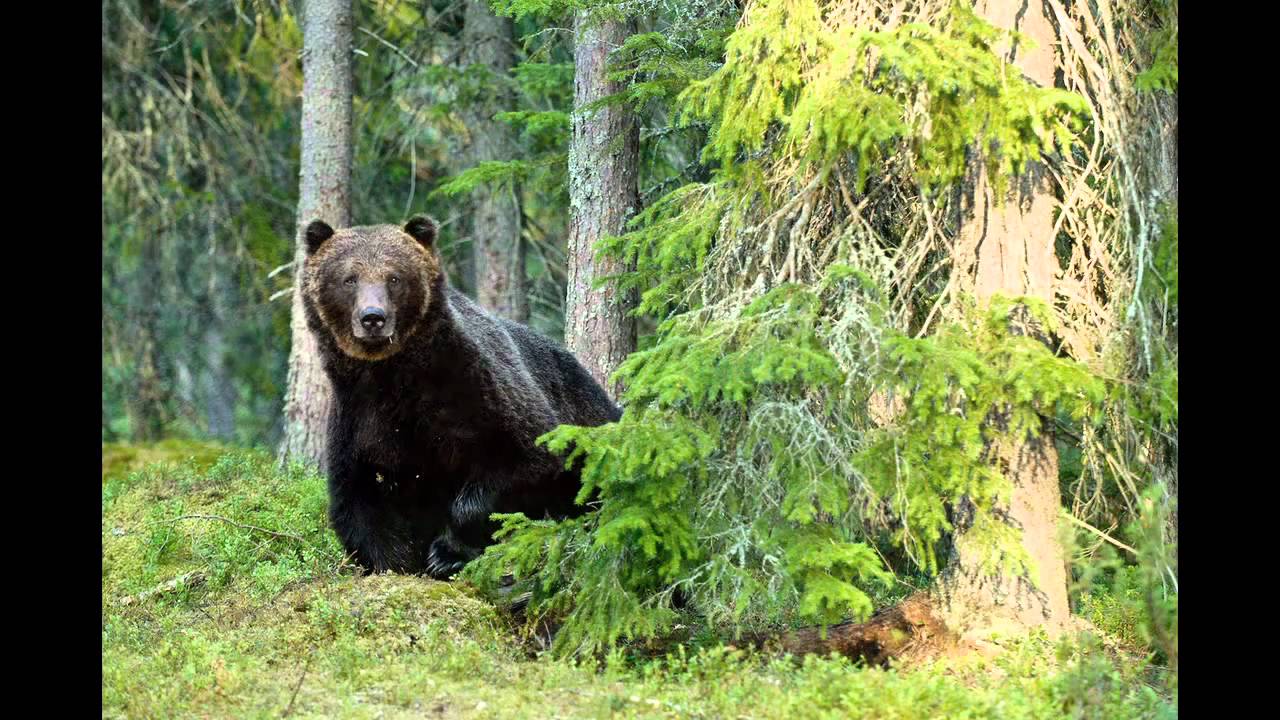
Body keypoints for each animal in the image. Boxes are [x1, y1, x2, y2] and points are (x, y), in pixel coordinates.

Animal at [300, 215, 621, 579]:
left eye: (394, 277)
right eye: (349, 278)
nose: (373, 318)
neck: (392, 375)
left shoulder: (476, 390)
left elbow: (523, 459)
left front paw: (446, 553)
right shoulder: (359, 417)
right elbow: (359, 503)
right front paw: (395, 563)